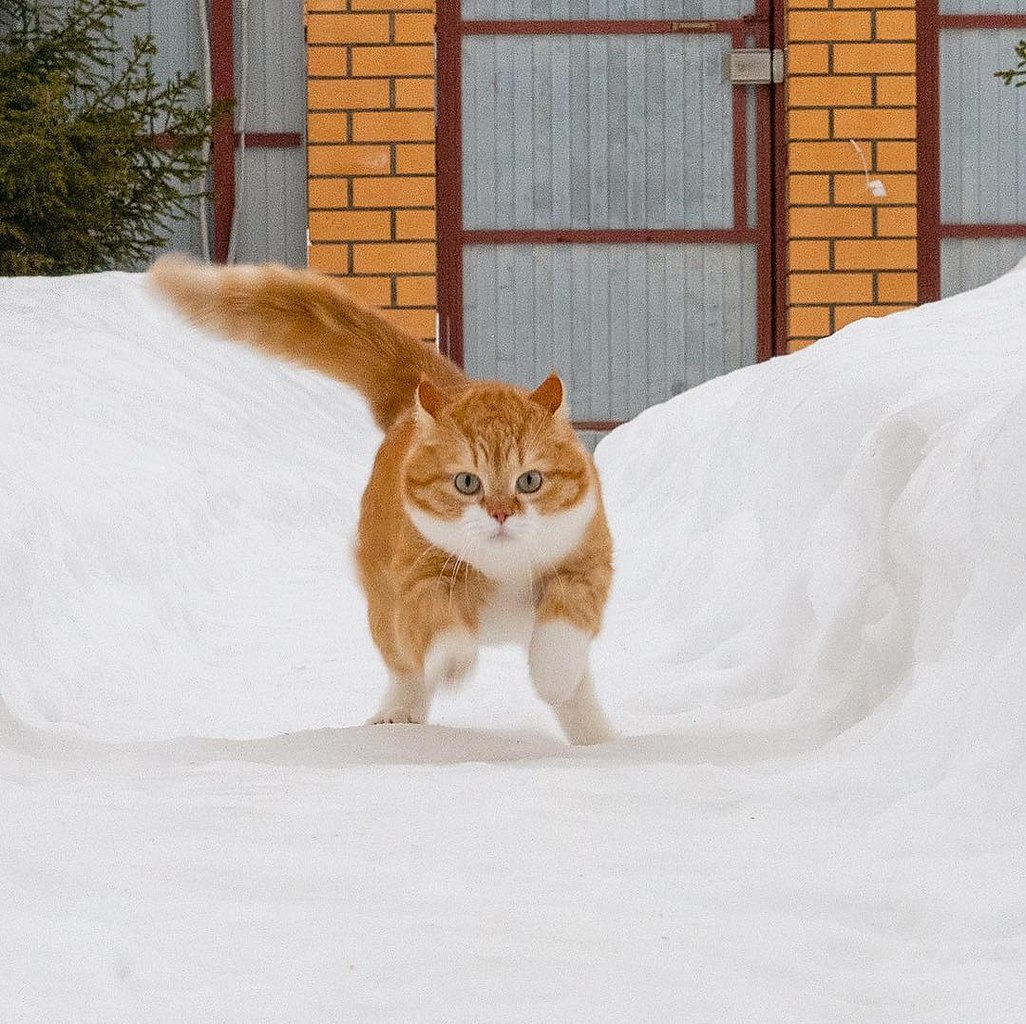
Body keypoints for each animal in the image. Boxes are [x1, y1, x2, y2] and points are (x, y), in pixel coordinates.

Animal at [149, 260, 615, 746]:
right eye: (467, 482)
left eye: (530, 480)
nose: (502, 513)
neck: (500, 569)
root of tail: (446, 384)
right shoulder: (415, 577)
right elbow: (433, 620)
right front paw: (453, 658)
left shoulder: (587, 562)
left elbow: (565, 626)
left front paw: (555, 676)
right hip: (380, 599)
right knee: (402, 662)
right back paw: (399, 711)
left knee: (577, 687)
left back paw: (595, 733)